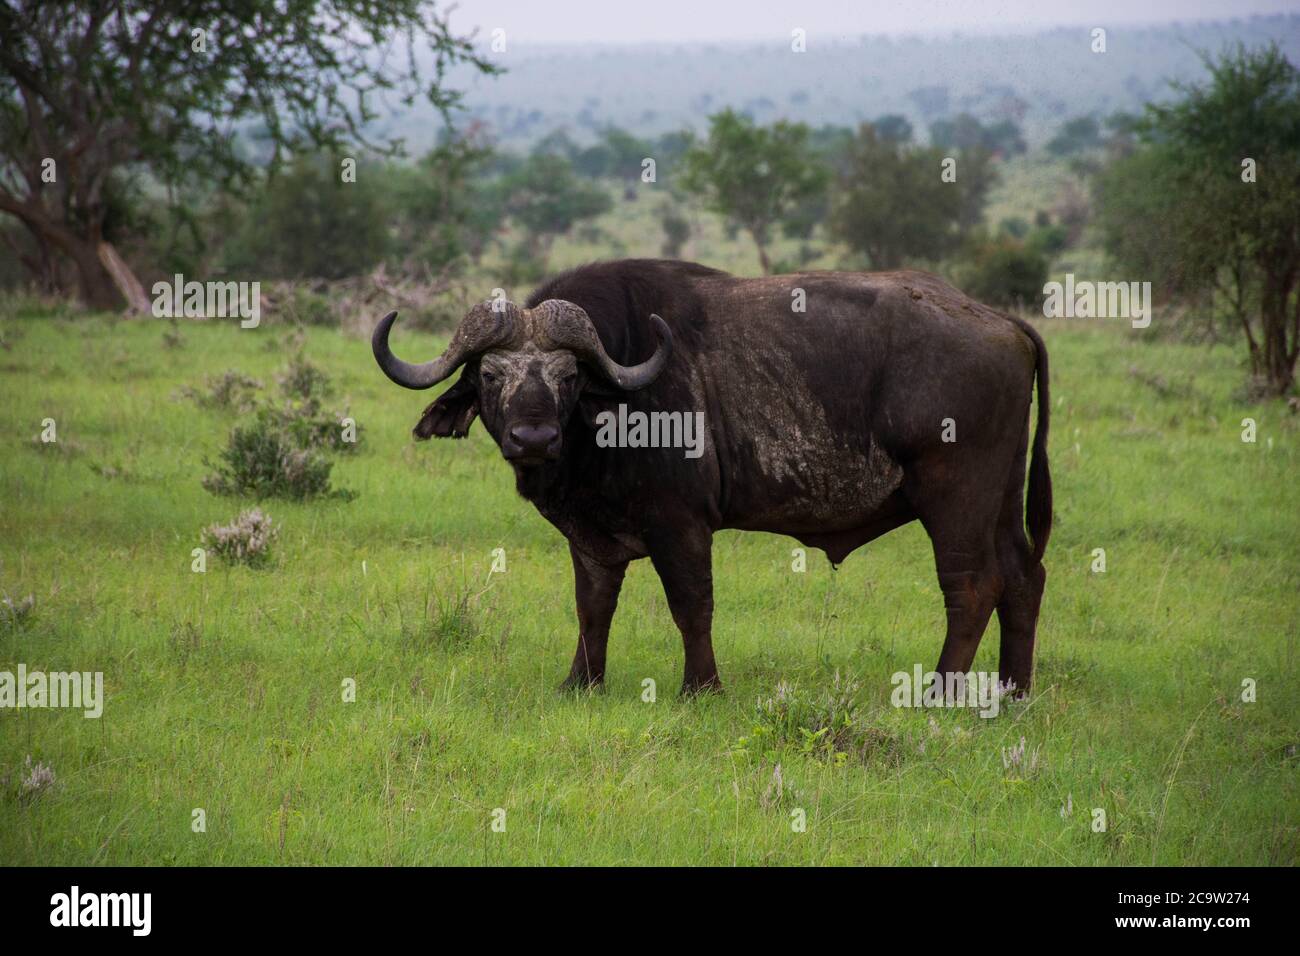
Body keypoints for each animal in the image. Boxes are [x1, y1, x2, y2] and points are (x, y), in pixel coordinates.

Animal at [371, 260, 1050, 697]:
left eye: (567, 376)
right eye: (490, 376)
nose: (533, 438)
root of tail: (1000, 322)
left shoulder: (682, 526)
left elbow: (691, 605)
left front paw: (700, 688)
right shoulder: (589, 538)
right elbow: (593, 607)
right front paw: (580, 683)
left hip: (955, 499)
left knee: (973, 586)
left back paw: (941, 693)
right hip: (1000, 499)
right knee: (1023, 575)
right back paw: (1013, 691)